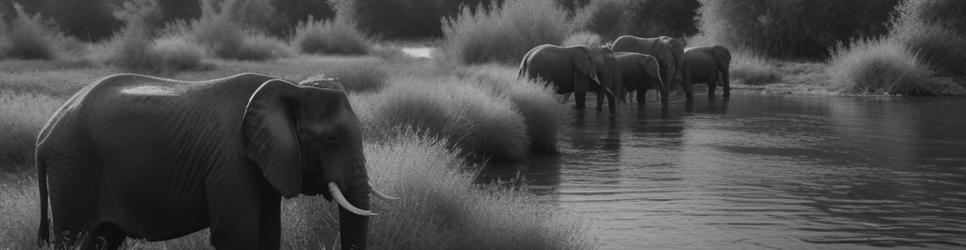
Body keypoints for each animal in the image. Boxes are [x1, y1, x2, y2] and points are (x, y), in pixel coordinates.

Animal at [35, 73, 398, 250]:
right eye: (331, 140)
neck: (292, 87)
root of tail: (44, 134)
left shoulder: (264, 163)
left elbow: (268, 236)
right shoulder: (230, 161)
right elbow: (237, 238)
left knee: (103, 239)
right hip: (74, 167)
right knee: (71, 236)